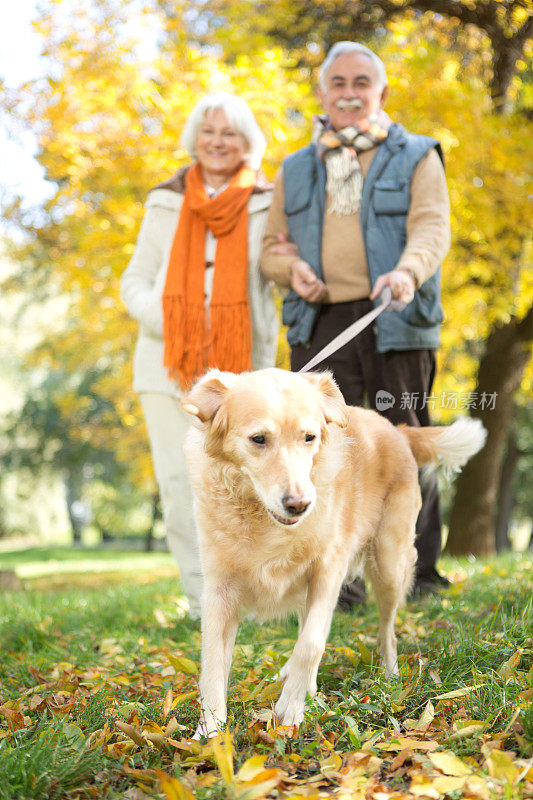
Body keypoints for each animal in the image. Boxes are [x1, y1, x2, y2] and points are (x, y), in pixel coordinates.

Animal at [183, 368, 486, 736]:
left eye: (309, 437)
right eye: (258, 439)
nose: (299, 504)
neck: (262, 518)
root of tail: (395, 430)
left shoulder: (328, 570)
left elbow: (312, 642)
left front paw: (291, 706)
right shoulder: (219, 589)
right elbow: (212, 661)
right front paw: (210, 730)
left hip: (388, 563)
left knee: (386, 630)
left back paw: (388, 675)